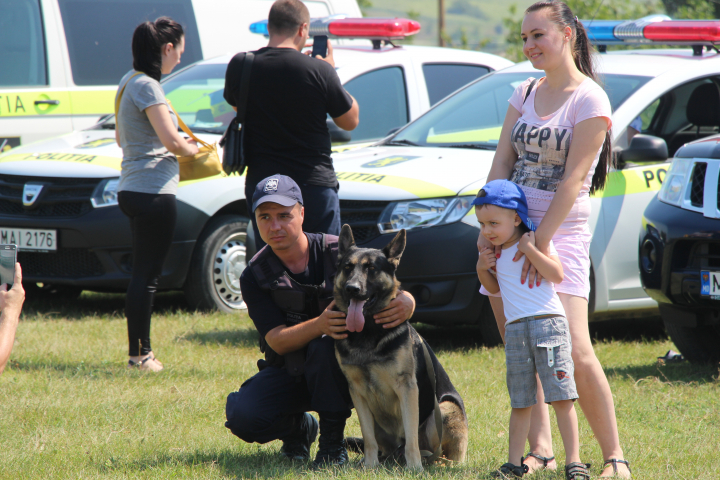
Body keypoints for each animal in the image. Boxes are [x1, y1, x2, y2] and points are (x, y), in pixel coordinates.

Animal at [332, 224, 466, 468]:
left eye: (371, 268)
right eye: (347, 267)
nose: (351, 289)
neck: (368, 332)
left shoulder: (407, 388)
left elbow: (411, 435)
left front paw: (414, 467)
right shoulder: (357, 391)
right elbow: (368, 438)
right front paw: (370, 466)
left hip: (444, 409)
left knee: (438, 452)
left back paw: (433, 463)